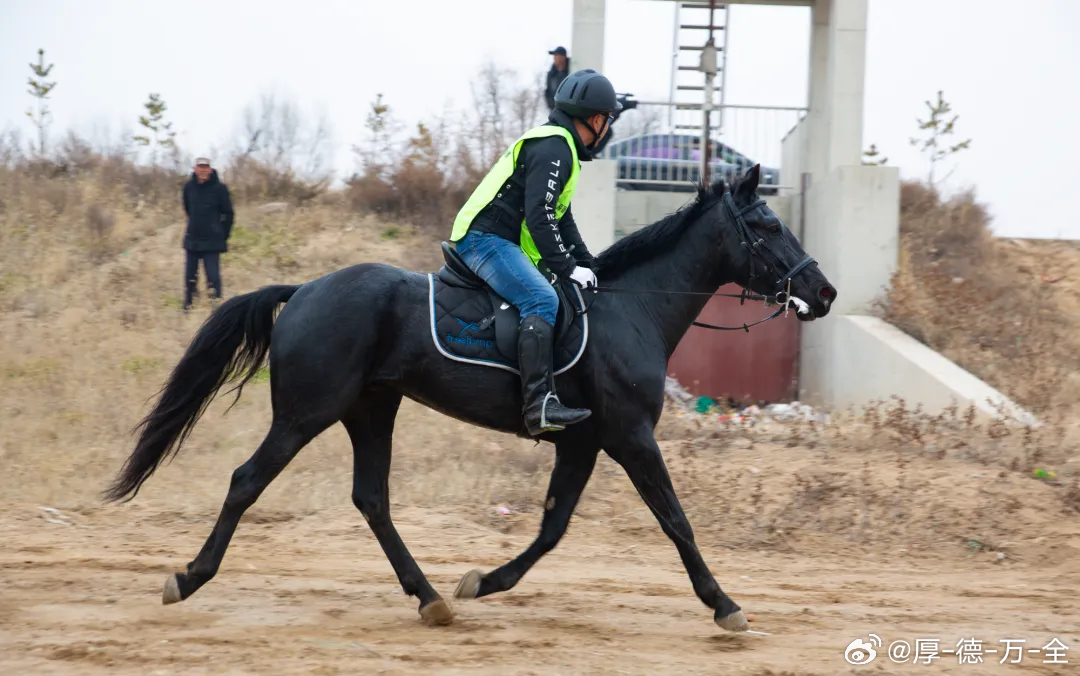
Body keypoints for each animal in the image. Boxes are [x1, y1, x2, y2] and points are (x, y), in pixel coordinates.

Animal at [105, 166, 833, 630]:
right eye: (768, 225)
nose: (822, 292)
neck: (635, 308)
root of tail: (305, 289)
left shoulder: (583, 441)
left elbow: (552, 529)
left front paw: (484, 582)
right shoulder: (630, 436)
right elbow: (676, 520)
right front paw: (724, 604)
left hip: (371, 410)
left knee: (372, 499)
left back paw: (430, 597)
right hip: (307, 413)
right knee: (247, 480)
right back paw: (189, 577)